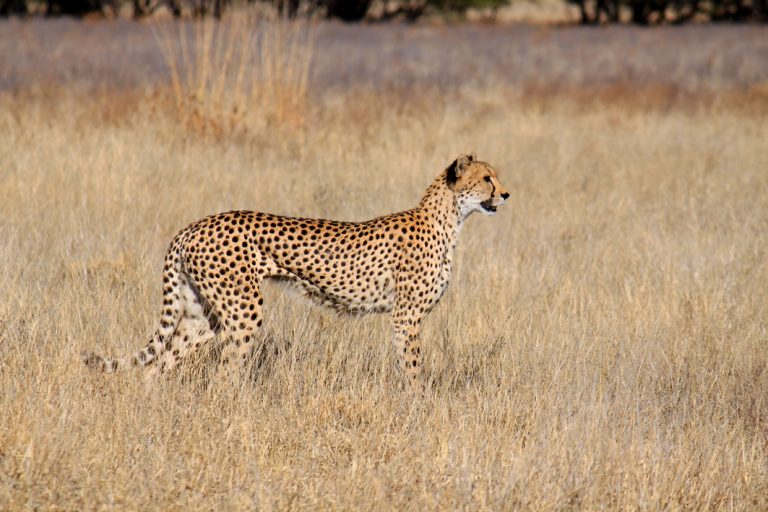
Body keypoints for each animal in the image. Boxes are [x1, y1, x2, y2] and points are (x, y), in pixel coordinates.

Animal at [82, 154, 510, 390]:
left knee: (156, 367)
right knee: (224, 375)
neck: (448, 218)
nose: (506, 194)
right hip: (243, 310)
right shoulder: (406, 318)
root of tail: (193, 225)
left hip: (201, 314)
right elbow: (413, 369)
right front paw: (419, 407)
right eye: (486, 178)